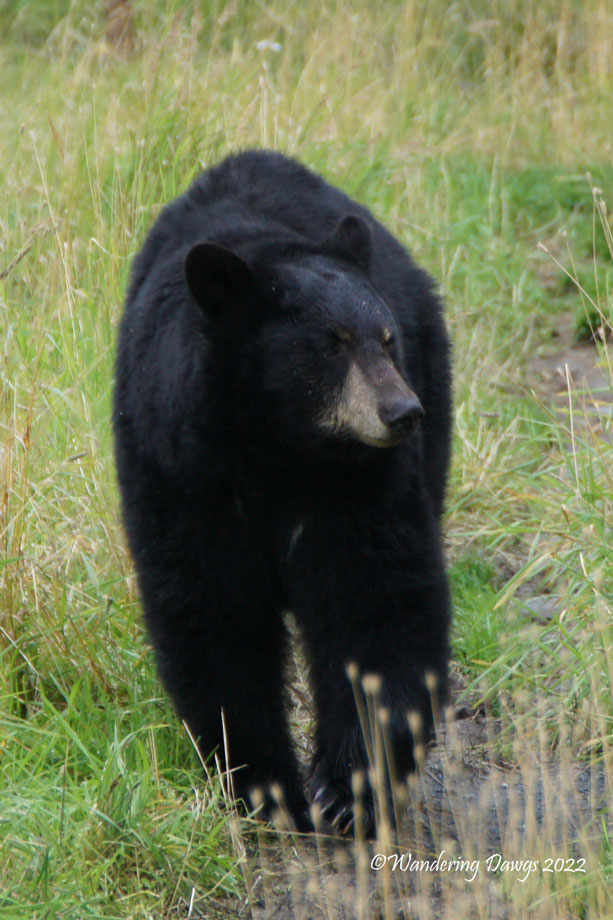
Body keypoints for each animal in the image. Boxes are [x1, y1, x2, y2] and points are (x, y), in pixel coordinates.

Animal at [113, 149, 452, 835]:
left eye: (385, 339)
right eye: (331, 346)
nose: (404, 413)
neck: (279, 449)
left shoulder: (360, 487)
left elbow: (374, 603)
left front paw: (350, 789)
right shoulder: (181, 471)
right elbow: (213, 609)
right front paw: (264, 785)